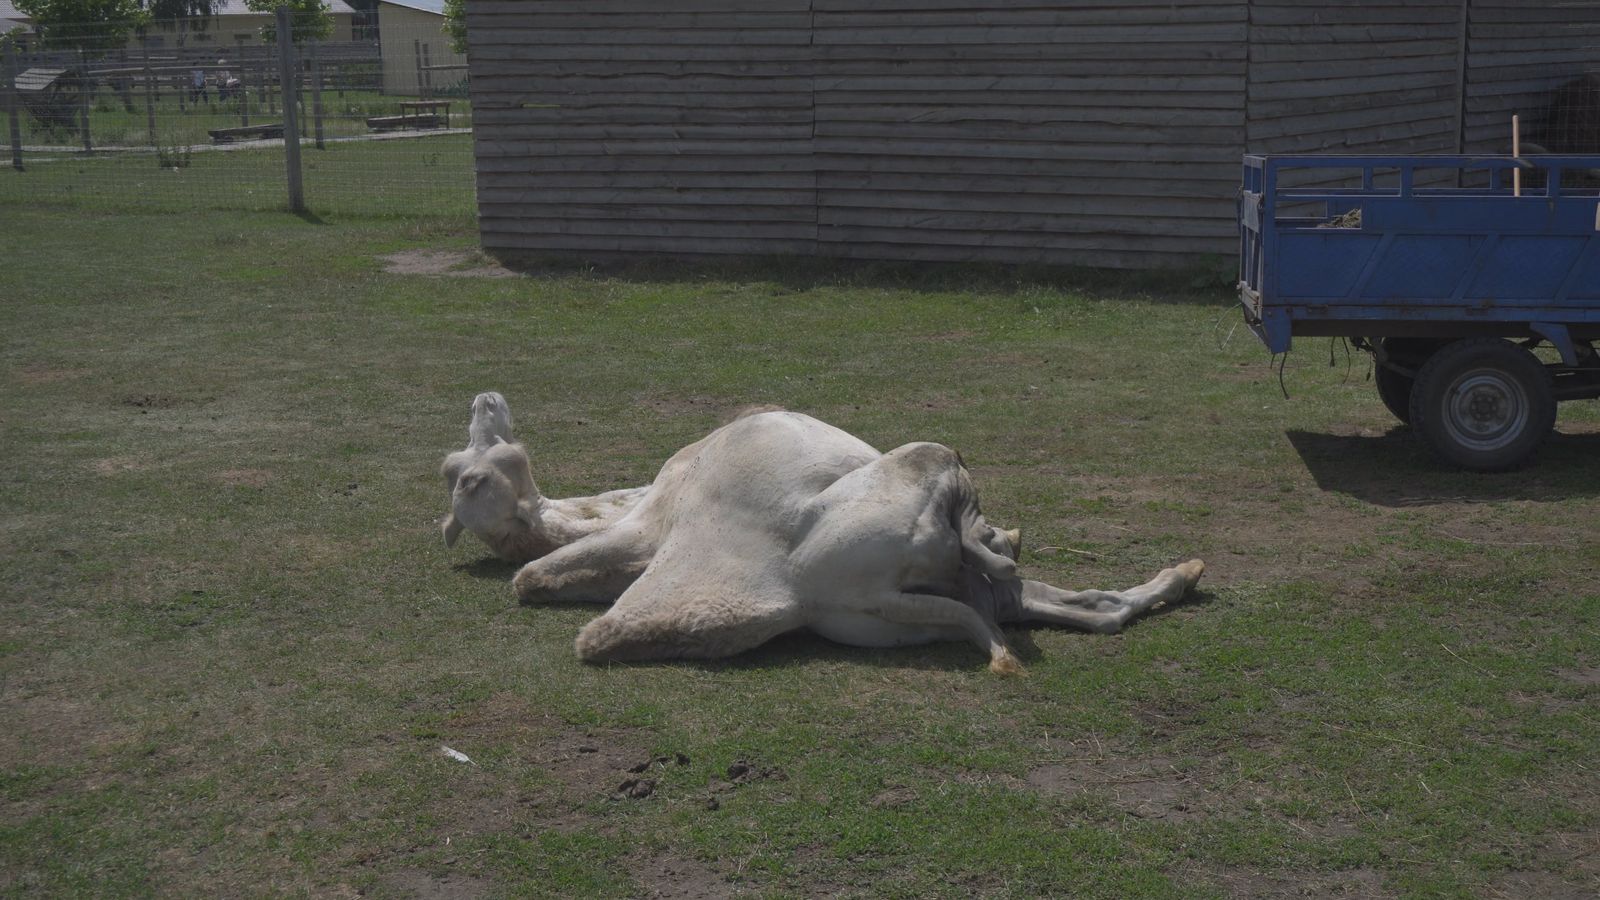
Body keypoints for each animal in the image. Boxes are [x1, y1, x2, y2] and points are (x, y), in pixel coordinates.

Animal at [441, 393, 1205, 674]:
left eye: (466, 472)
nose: (486, 398)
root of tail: (810, 594)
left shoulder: (645, 524)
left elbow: (536, 575)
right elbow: (533, 575)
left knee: (1059, 599)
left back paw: (1184, 575)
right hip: (920, 528)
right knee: (1004, 569)